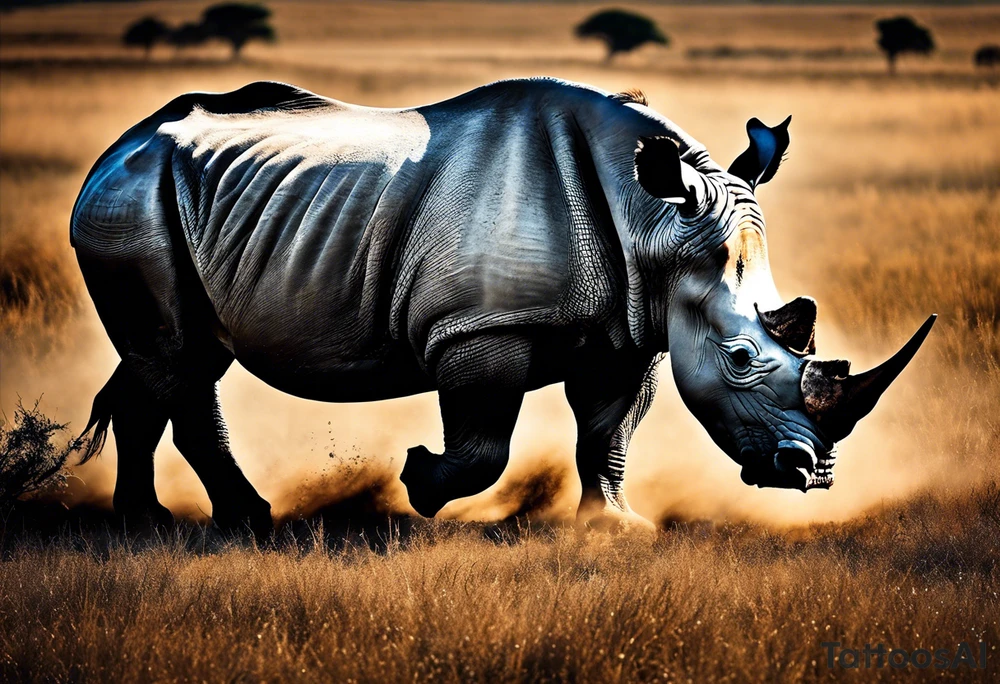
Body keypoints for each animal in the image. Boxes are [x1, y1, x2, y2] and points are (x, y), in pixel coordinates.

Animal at [71, 78, 935, 535]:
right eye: (742, 358)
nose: (813, 473)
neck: (653, 220)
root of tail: (113, 148)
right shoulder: (478, 329)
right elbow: (485, 442)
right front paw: (420, 485)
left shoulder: (631, 330)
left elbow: (608, 431)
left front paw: (612, 530)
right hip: (133, 207)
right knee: (173, 359)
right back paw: (184, 526)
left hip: (175, 206)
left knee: (181, 363)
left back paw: (207, 523)